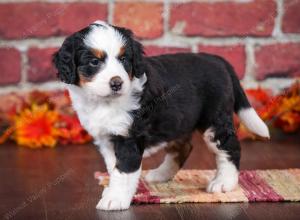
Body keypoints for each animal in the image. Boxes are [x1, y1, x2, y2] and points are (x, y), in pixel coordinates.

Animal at [52, 21, 270, 211]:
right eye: (94, 62)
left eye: (124, 59)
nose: (117, 83)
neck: (104, 102)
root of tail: (218, 60)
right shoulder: (106, 139)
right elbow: (114, 169)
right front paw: (113, 192)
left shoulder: (130, 138)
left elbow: (124, 171)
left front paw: (115, 200)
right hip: (178, 120)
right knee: (183, 147)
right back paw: (160, 175)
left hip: (214, 121)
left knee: (229, 147)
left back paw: (224, 182)